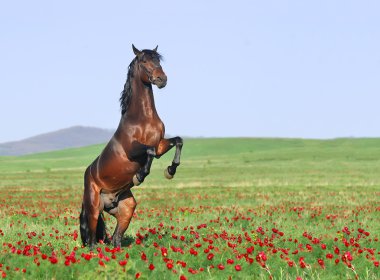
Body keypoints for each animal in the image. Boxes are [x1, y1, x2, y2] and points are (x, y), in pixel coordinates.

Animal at [79, 44, 183, 248]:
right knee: (94, 239)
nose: (162, 79)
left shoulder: (160, 144)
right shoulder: (133, 149)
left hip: (126, 207)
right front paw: (140, 176)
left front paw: (171, 170)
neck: (143, 119)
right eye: (144, 61)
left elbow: (178, 141)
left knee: (116, 238)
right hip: (93, 208)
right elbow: (149, 152)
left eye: (158, 60)